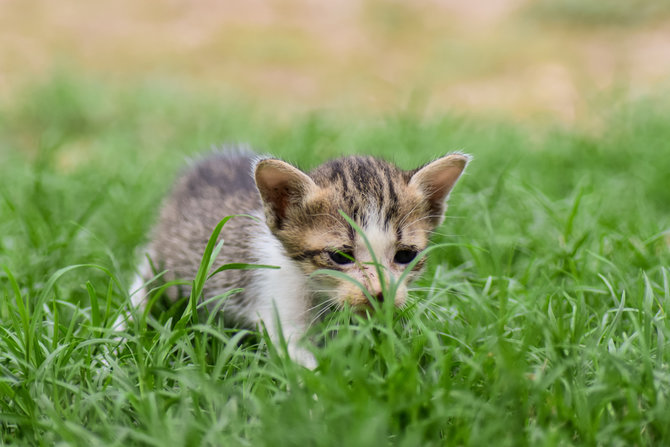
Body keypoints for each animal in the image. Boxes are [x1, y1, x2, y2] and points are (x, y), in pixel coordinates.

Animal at [123, 147, 470, 368]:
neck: (320, 294)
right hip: (167, 259)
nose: (379, 293)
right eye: (340, 256)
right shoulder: (280, 308)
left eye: (405, 255)